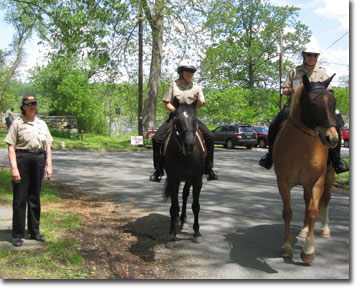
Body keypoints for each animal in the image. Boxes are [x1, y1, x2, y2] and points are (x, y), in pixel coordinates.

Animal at [162, 97, 205, 247]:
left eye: (195, 118)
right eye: (177, 119)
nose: (189, 145)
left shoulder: (197, 179)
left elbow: (196, 206)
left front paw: (197, 232)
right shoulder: (173, 179)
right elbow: (174, 207)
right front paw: (171, 234)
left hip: (188, 179)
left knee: (185, 195)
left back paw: (183, 219)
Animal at [272, 74, 338, 262]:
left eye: (333, 102)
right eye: (312, 103)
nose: (332, 138)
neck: (302, 147)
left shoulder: (317, 181)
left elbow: (314, 211)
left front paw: (308, 250)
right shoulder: (283, 182)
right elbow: (288, 212)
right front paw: (287, 247)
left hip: (329, 177)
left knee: (326, 200)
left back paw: (324, 229)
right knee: (307, 201)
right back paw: (304, 229)